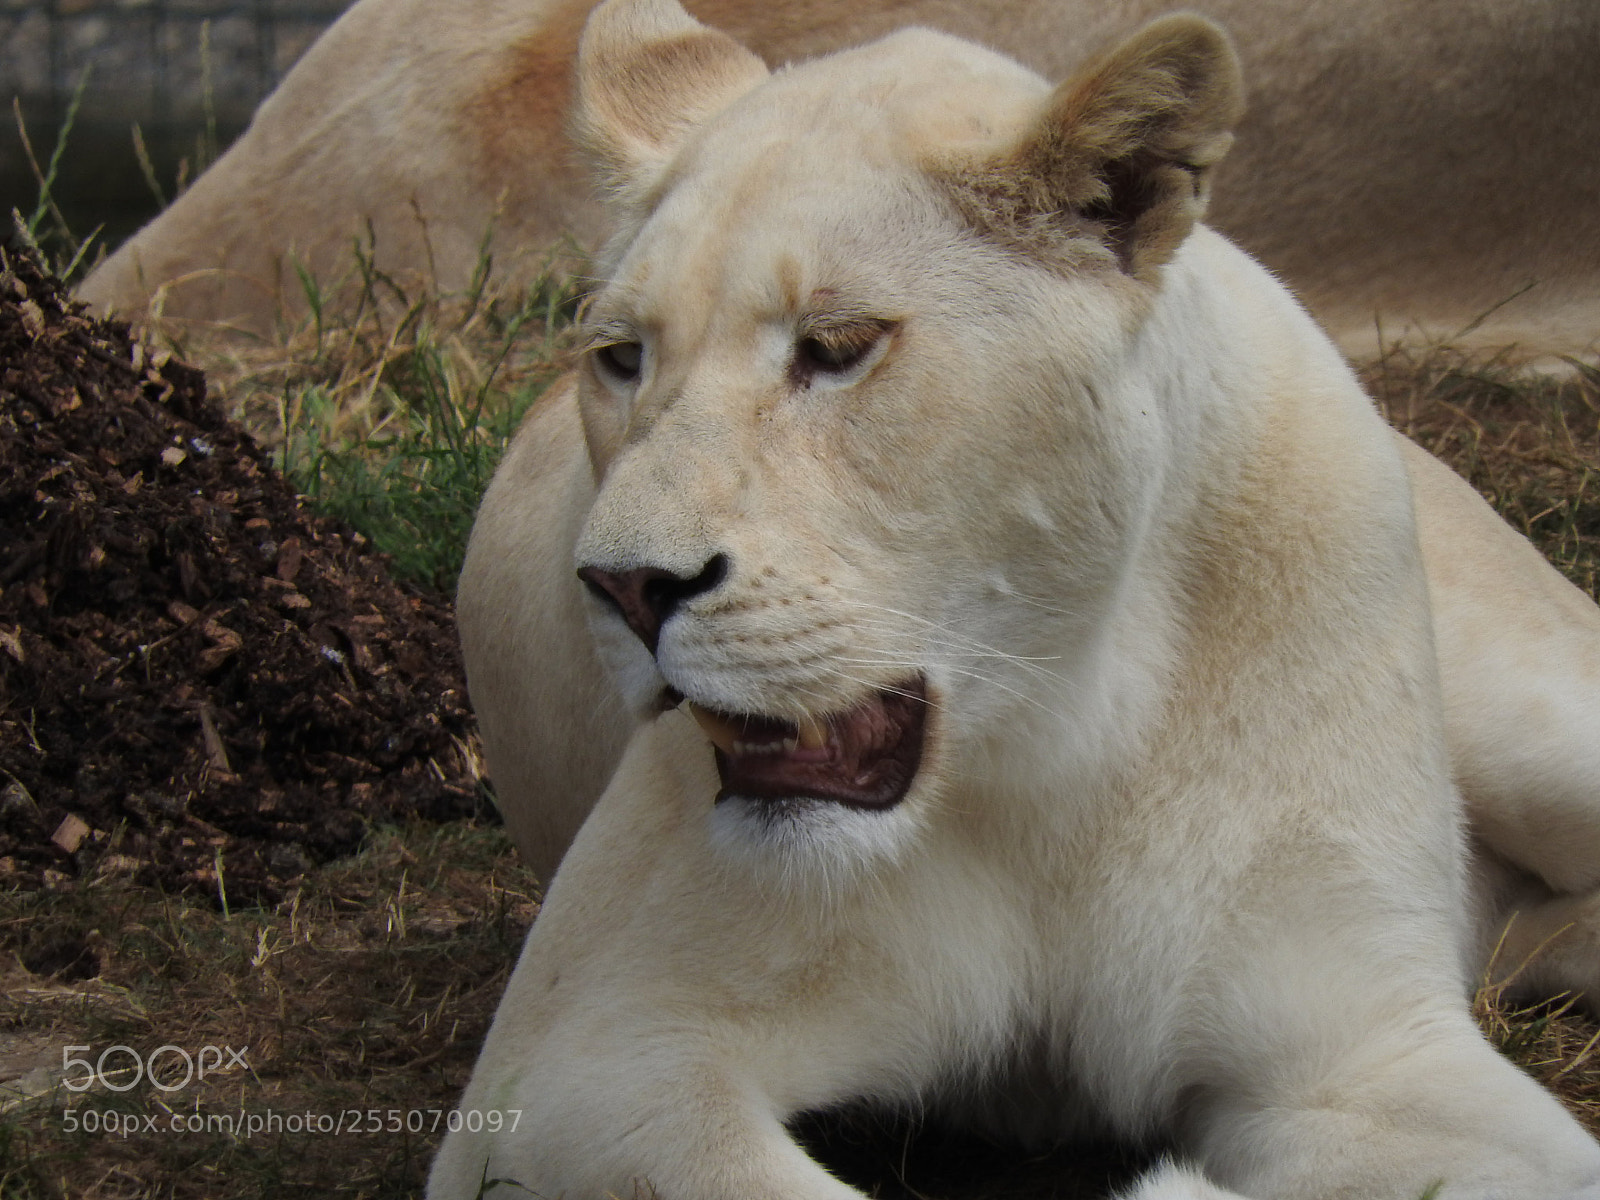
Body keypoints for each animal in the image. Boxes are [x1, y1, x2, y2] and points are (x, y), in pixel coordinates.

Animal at [428, 2, 1600, 1197]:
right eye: (620, 358)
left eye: (837, 347)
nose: (623, 587)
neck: (1054, 732)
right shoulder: (584, 1067)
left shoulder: (1355, 1050)